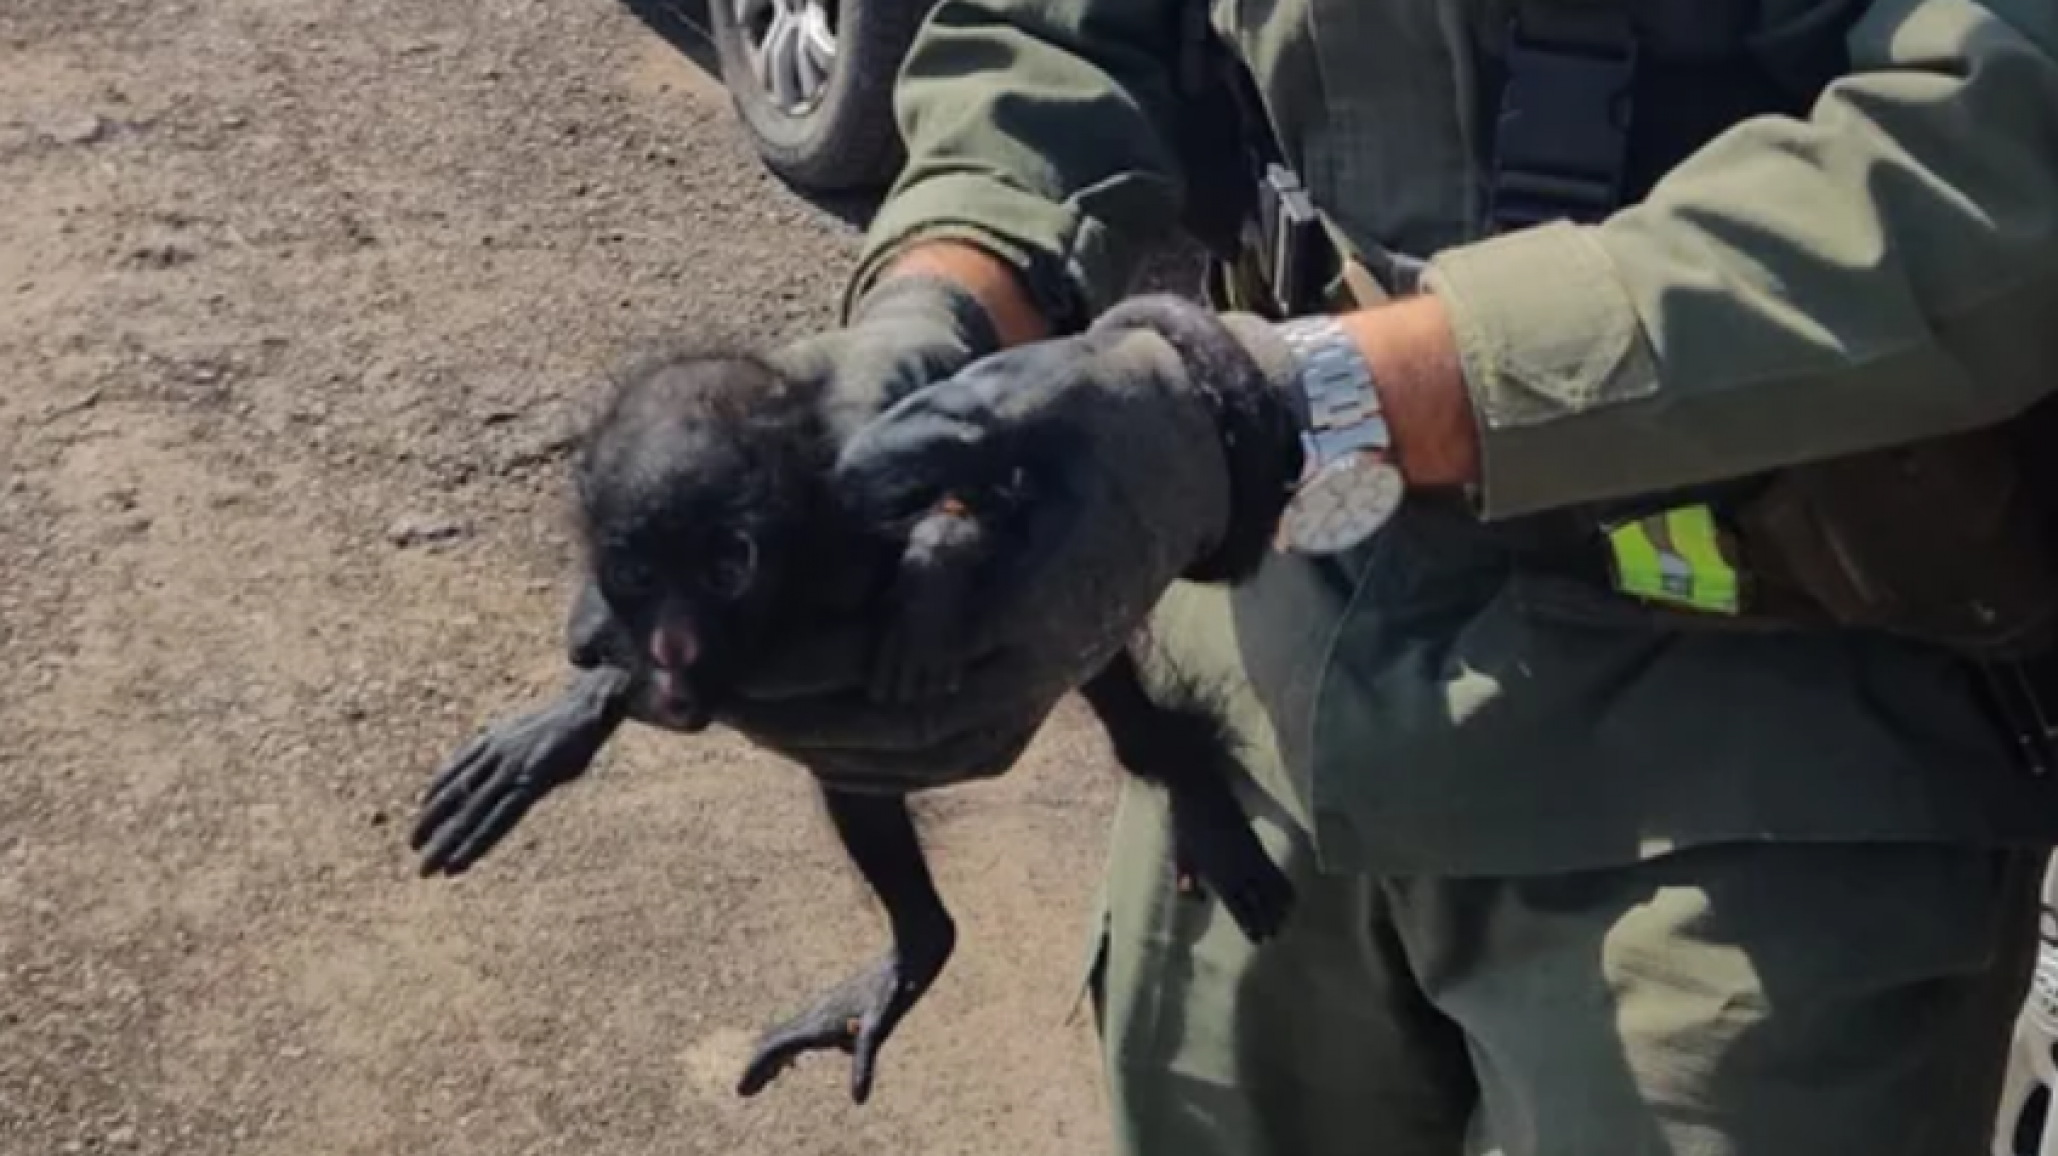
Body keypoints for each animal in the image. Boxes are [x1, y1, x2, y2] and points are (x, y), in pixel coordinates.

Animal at [408, 349, 1295, 1106]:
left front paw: (936, 576)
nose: (673, 644)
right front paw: (569, 715)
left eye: (726, 564)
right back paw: (922, 942)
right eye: (636, 571)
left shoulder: (857, 517)